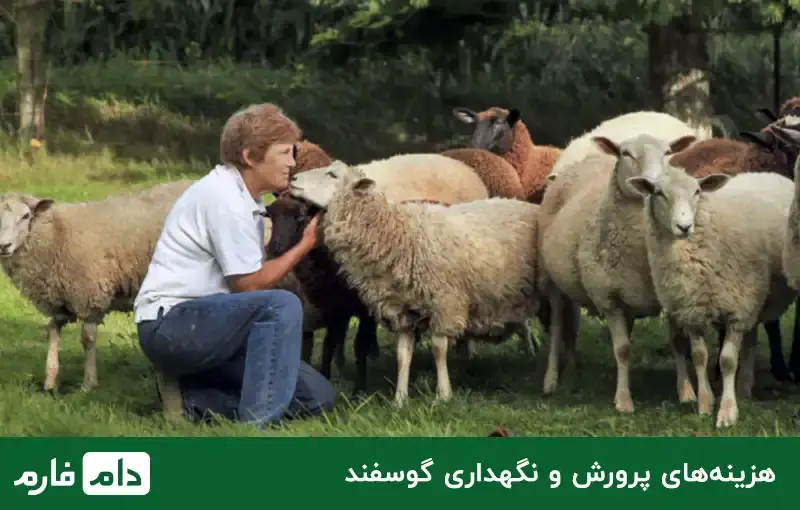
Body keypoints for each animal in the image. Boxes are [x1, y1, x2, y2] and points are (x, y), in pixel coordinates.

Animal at [0, 181, 193, 392]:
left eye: (26, 216)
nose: (4, 245)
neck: (56, 234)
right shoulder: (60, 301)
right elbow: (53, 331)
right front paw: (50, 382)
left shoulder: (88, 296)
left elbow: (88, 338)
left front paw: (88, 383)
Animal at [287, 160, 541, 407]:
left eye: (333, 175)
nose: (293, 178)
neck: (396, 234)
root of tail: (529, 206)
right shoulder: (402, 311)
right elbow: (402, 355)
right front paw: (399, 400)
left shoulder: (444, 303)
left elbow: (438, 349)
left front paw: (443, 395)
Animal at [538, 133, 696, 406]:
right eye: (625, 153)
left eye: (668, 152)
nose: (652, 182)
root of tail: (588, 159)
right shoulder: (608, 299)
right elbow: (621, 349)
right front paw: (623, 399)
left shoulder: (669, 296)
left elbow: (678, 342)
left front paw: (686, 393)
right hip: (554, 282)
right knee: (557, 328)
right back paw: (551, 379)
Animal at [626, 167, 797, 428]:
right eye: (659, 193)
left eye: (697, 191)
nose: (684, 226)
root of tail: (764, 172)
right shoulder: (691, 311)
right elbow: (699, 357)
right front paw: (705, 404)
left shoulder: (738, 309)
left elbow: (727, 360)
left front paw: (727, 411)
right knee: (750, 338)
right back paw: (744, 387)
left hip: (751, 299)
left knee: (749, 341)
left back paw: (743, 388)